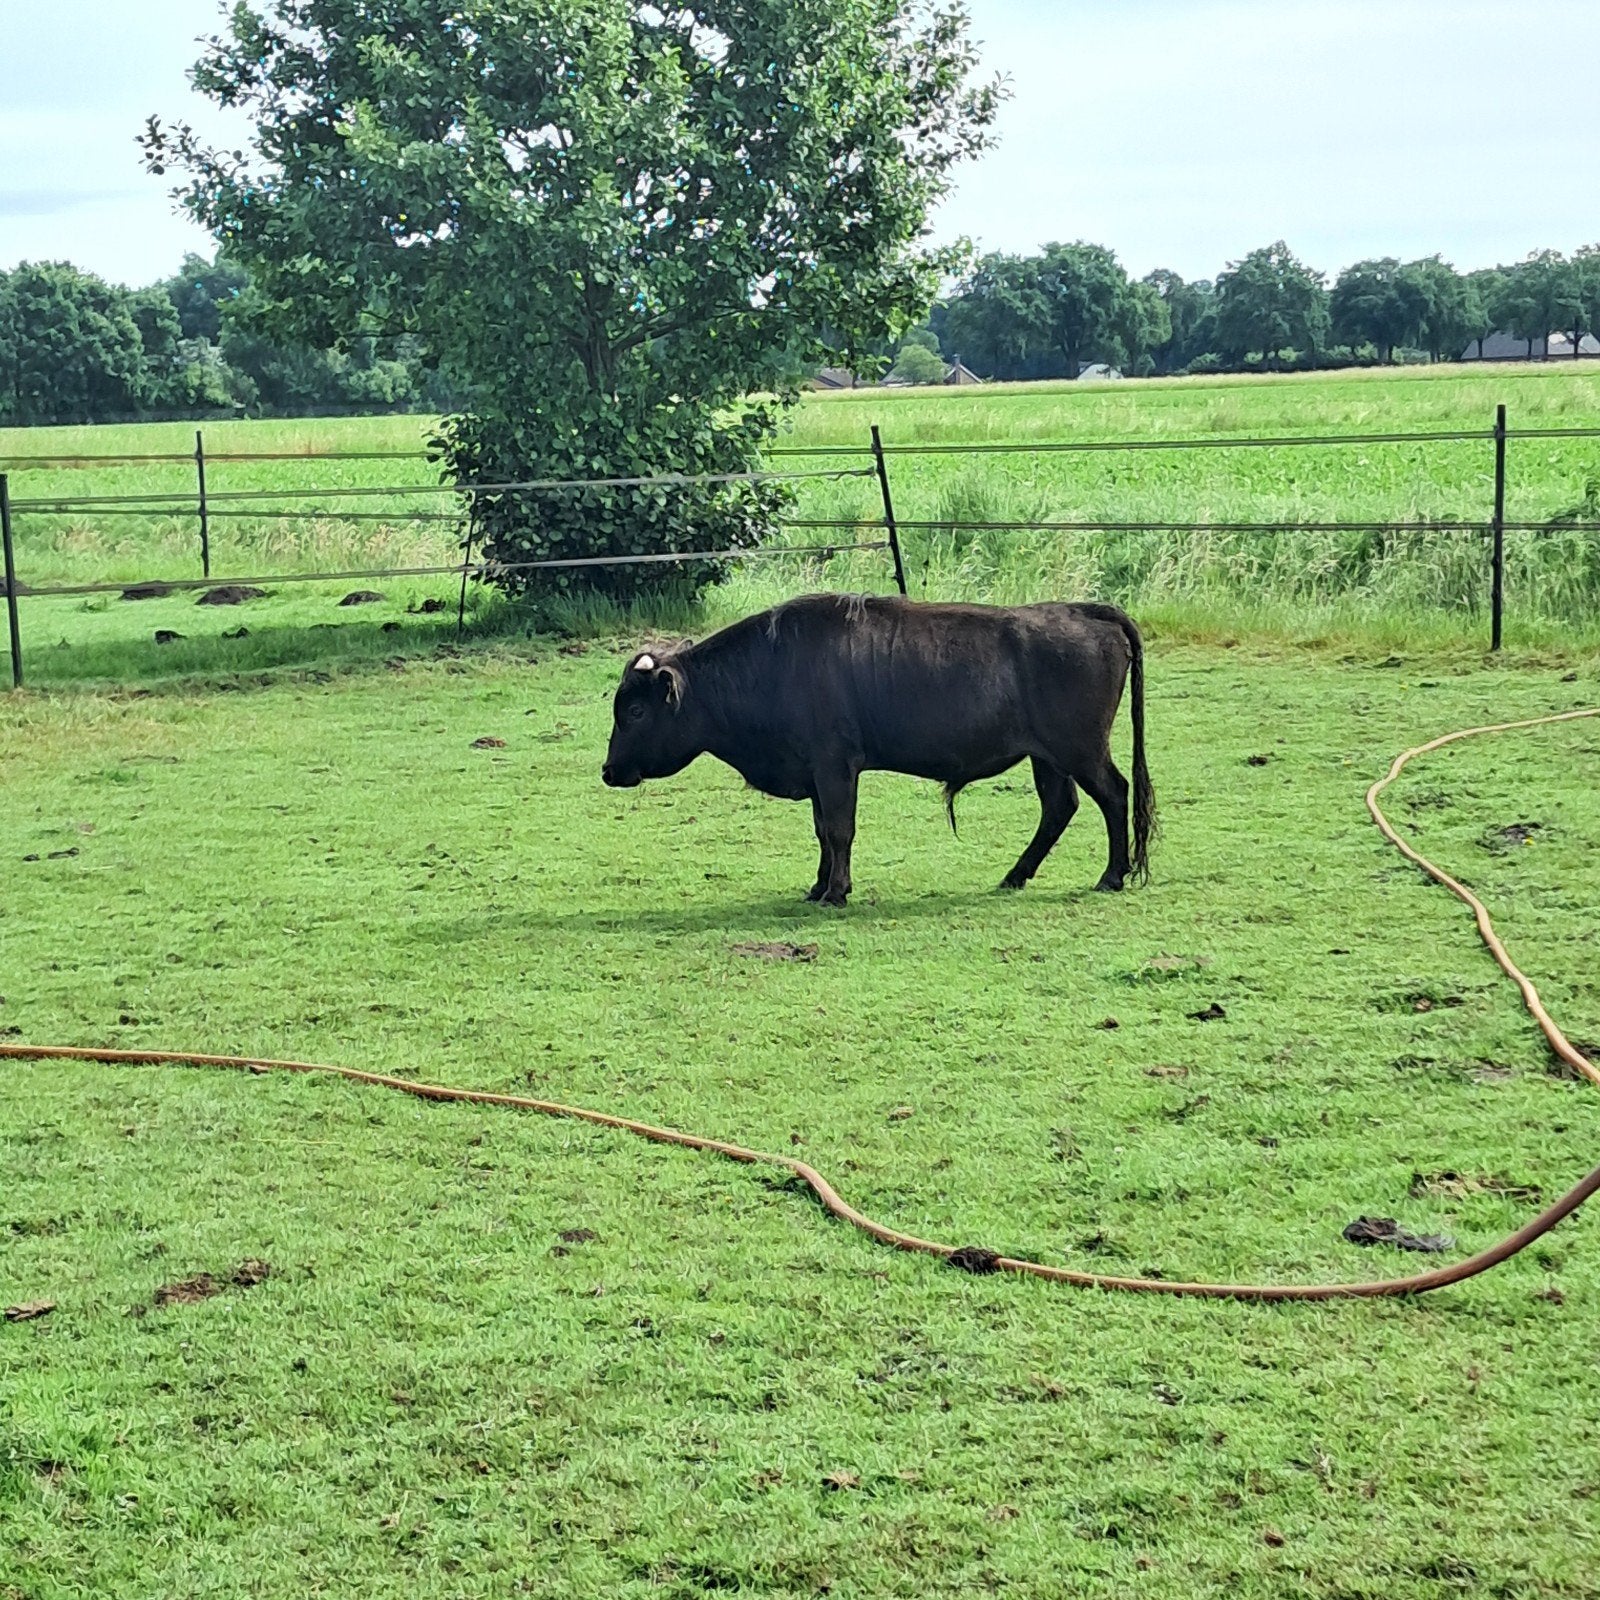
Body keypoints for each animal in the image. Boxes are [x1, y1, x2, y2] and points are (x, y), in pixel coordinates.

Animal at [601, 593, 1153, 906]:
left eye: (636, 711)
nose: (608, 770)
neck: (773, 666)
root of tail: (1082, 611)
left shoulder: (835, 769)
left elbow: (838, 830)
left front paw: (837, 892)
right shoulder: (817, 776)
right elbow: (822, 832)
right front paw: (818, 887)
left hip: (1081, 751)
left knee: (1114, 794)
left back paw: (1111, 876)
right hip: (1049, 758)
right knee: (1059, 808)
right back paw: (1015, 876)